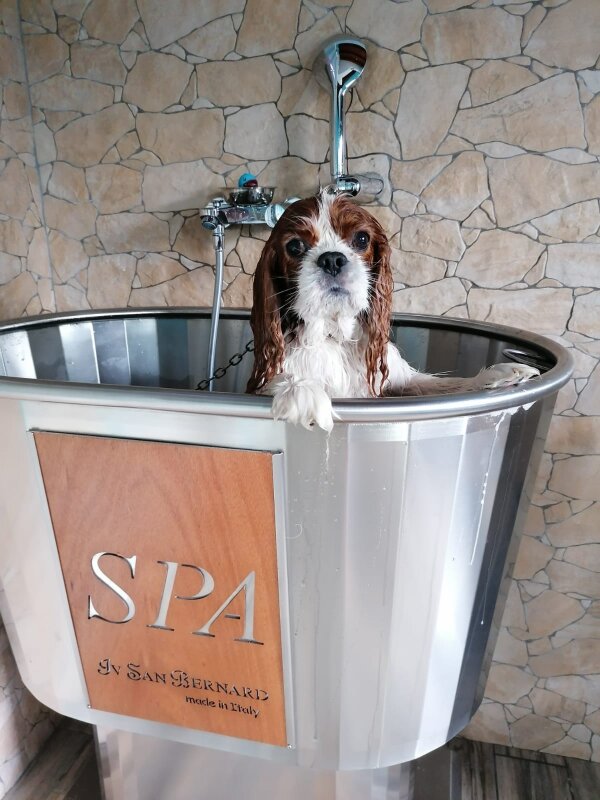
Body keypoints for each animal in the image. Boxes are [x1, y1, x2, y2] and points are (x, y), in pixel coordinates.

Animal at [246, 191, 539, 432]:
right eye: (295, 246)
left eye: (361, 238)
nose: (332, 259)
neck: (335, 337)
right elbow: (280, 380)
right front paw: (302, 390)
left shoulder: (395, 383)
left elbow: (437, 384)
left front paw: (498, 374)